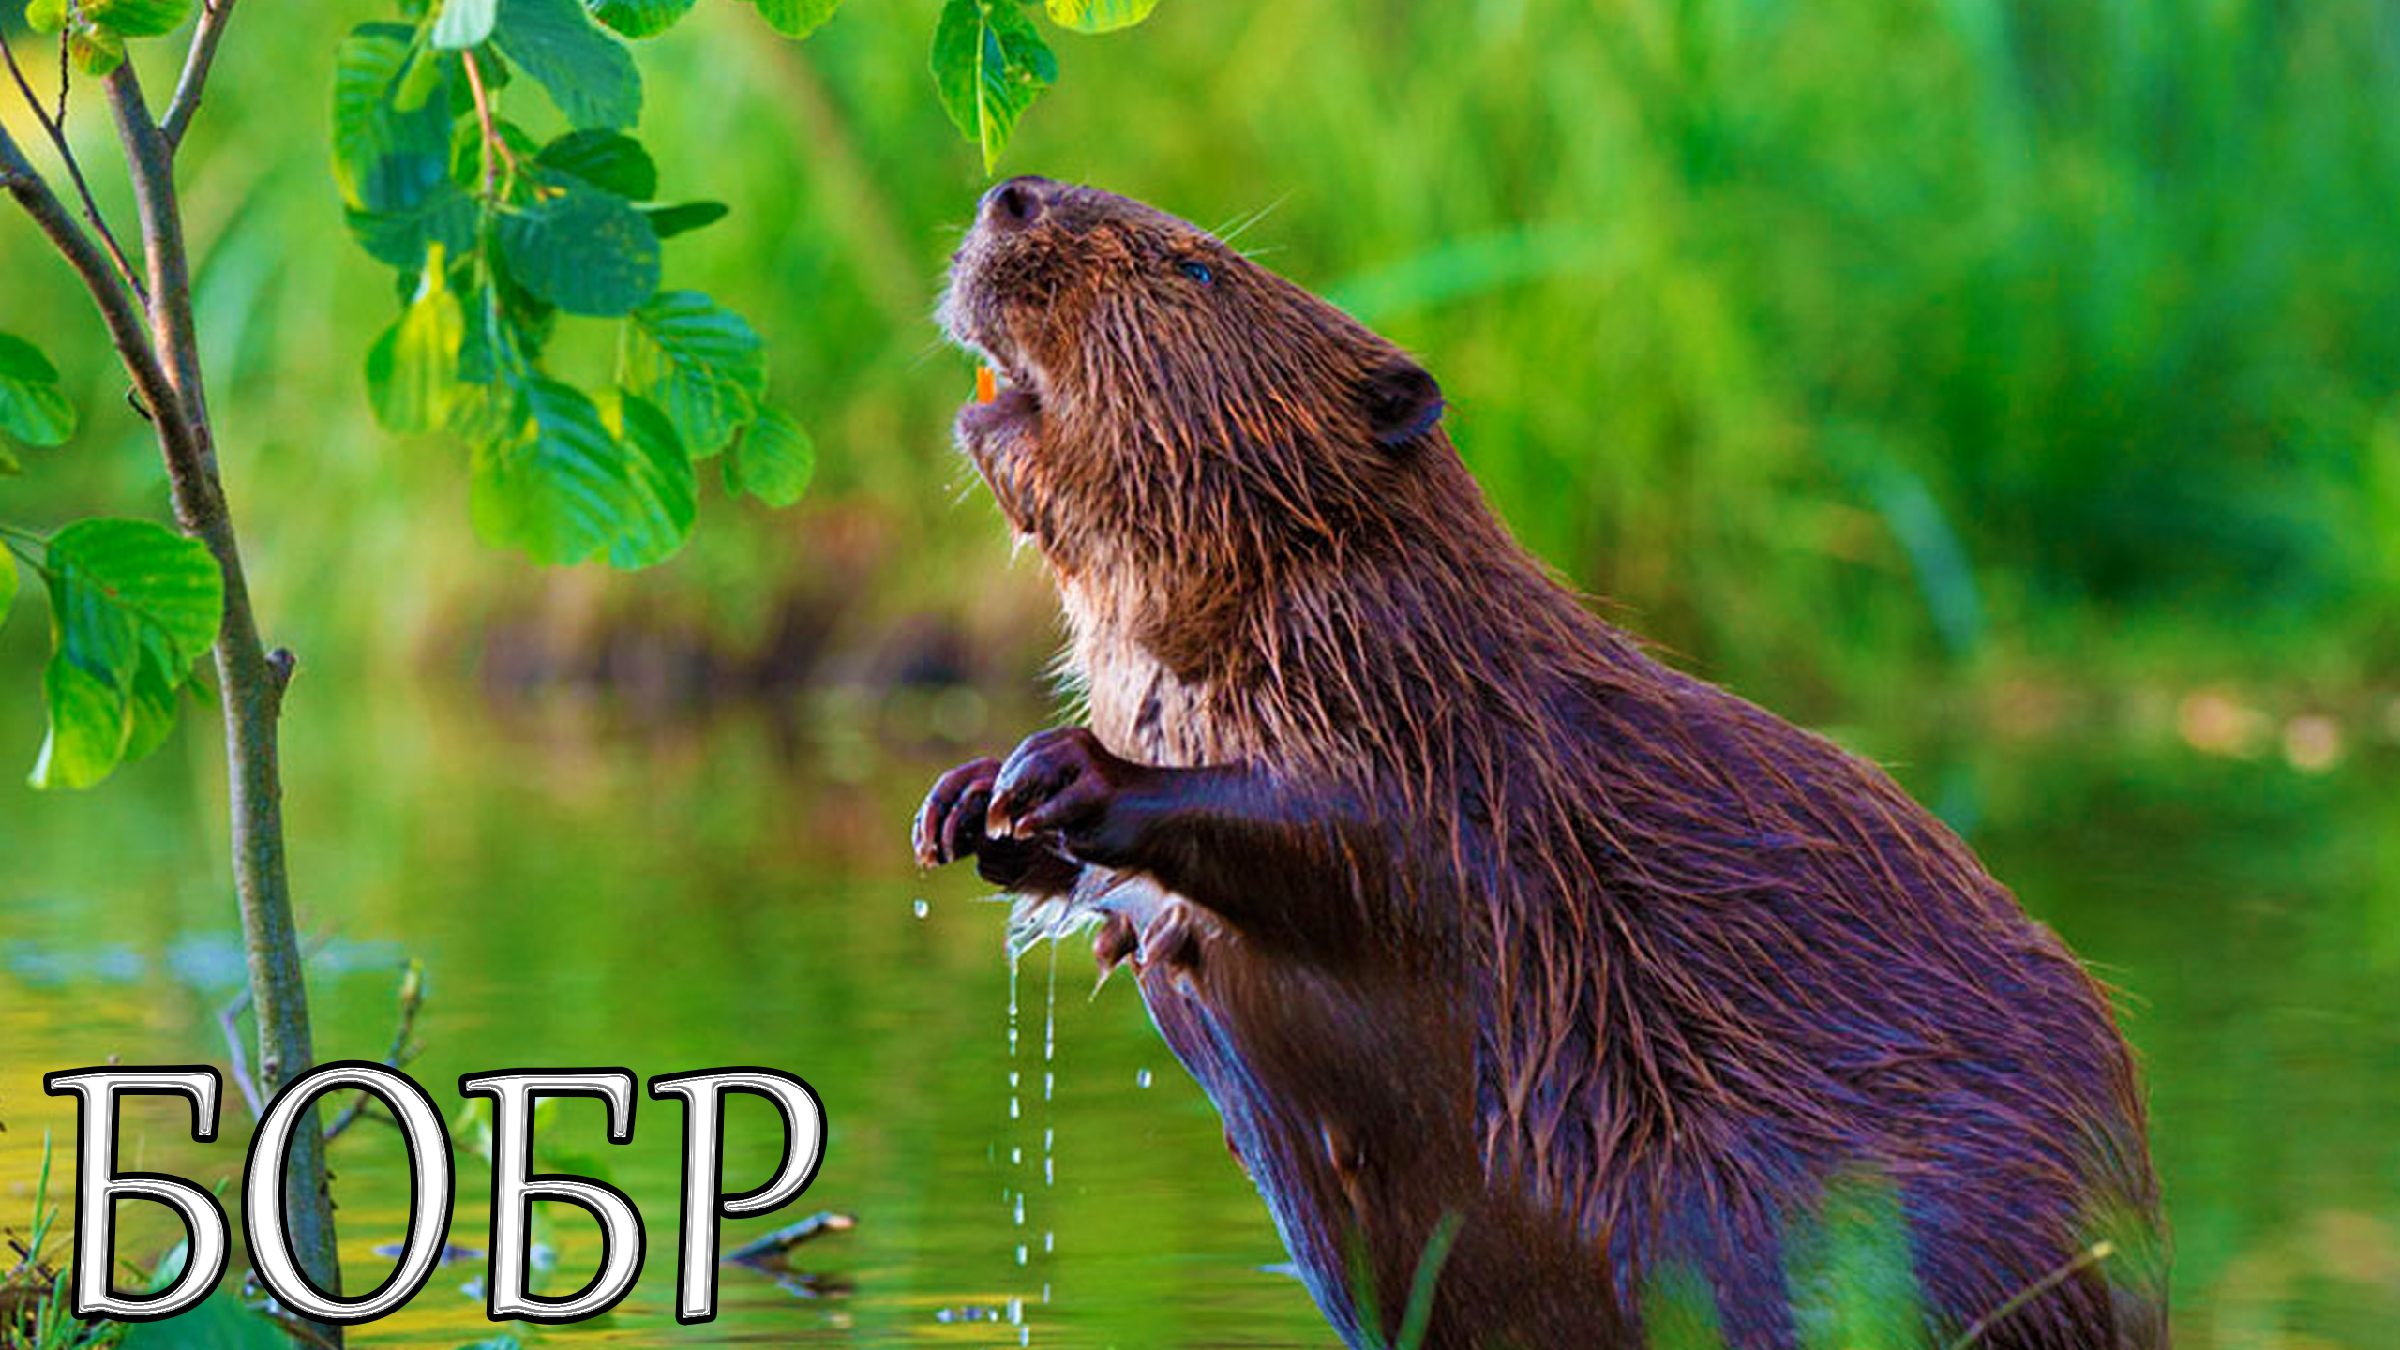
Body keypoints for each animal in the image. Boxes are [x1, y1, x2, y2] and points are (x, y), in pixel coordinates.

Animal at [907, 178, 2169, 1345]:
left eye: (1197, 268)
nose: (1009, 195)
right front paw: (970, 808)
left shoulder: (1442, 714)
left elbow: (1362, 842)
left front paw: (1065, 773)